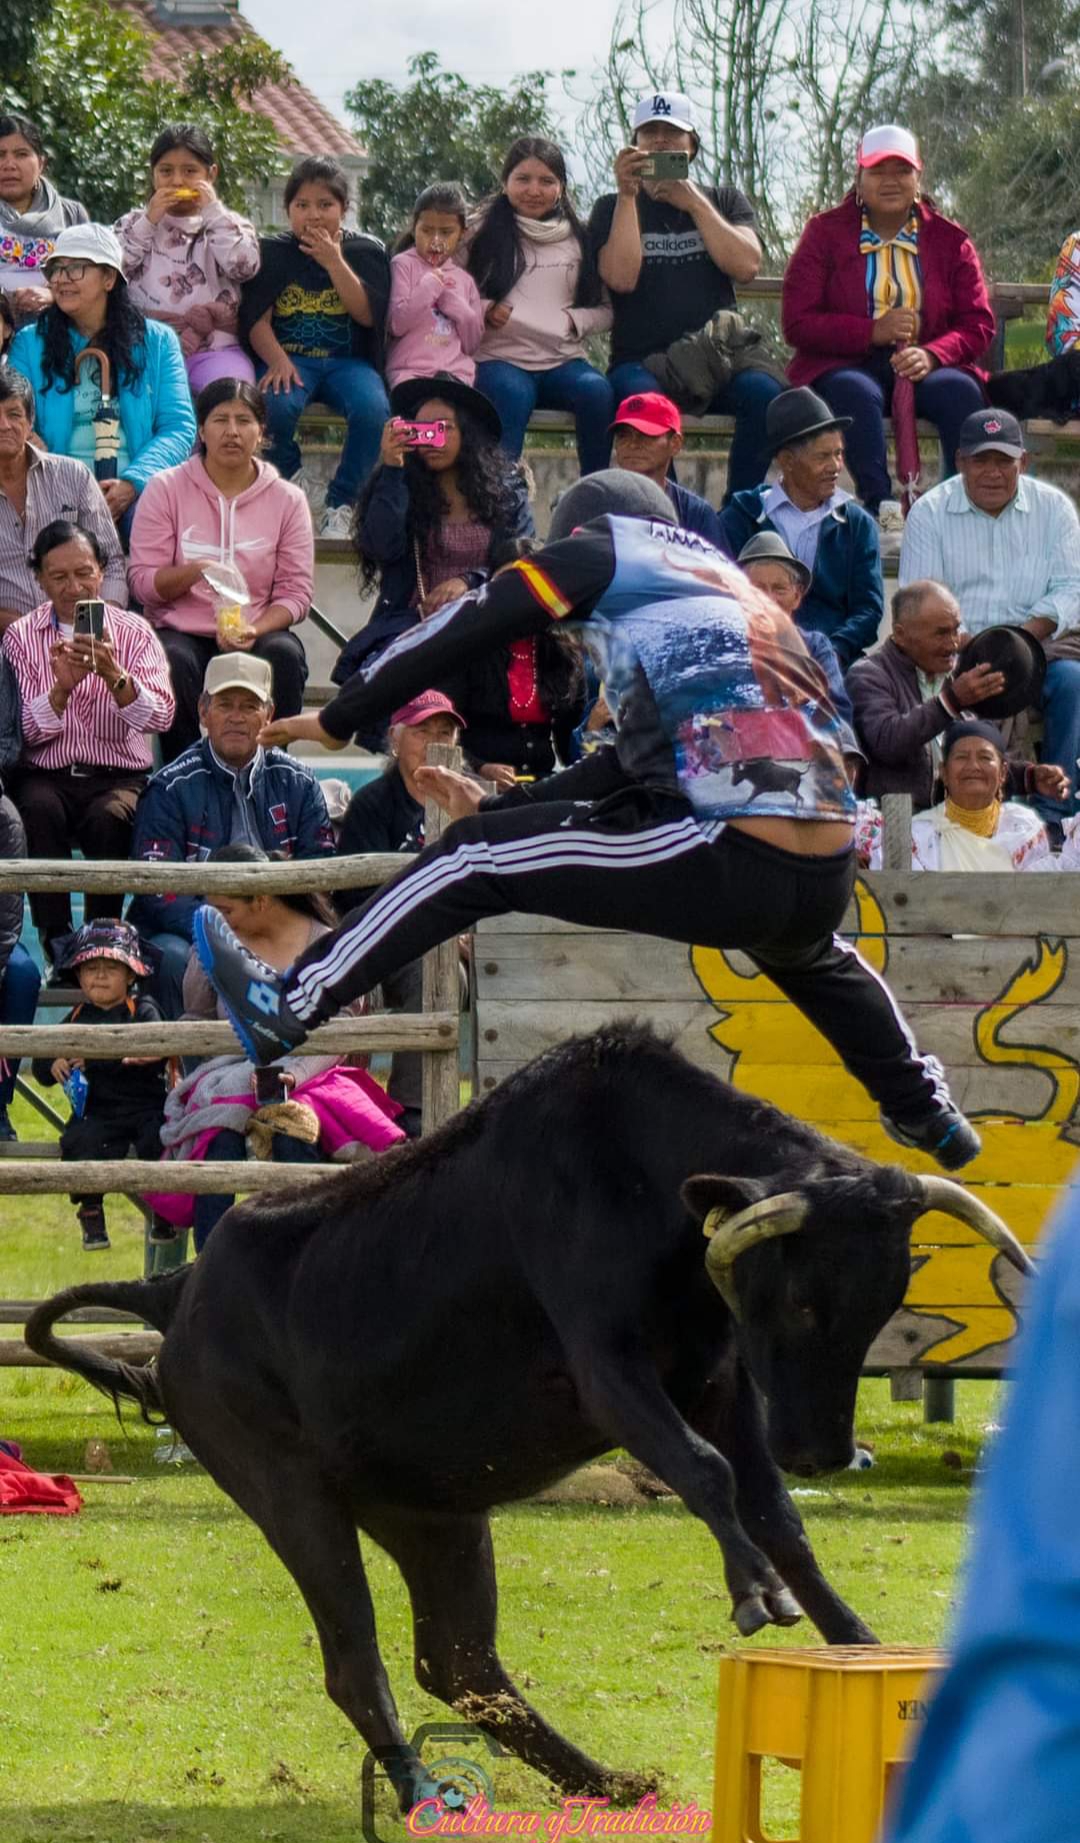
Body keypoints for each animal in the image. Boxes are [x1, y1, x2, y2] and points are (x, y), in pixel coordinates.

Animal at [26, 1023, 1029, 1814]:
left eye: (879, 1302)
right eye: (800, 1300)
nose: (819, 1448)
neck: (637, 1176)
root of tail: (179, 1292)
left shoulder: (718, 1381)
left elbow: (774, 1511)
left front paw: (861, 1644)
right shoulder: (611, 1372)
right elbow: (705, 1470)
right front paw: (757, 1595)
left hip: (434, 1516)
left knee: (459, 1661)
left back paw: (606, 1781)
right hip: (289, 1496)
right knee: (358, 1661)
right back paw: (426, 1792)